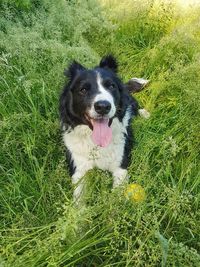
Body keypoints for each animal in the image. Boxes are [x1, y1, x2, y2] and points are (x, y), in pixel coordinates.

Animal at [58, 56, 149, 203]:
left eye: (111, 86)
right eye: (83, 89)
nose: (103, 106)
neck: (96, 144)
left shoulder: (120, 167)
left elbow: (114, 199)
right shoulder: (78, 170)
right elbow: (78, 201)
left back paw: (144, 113)